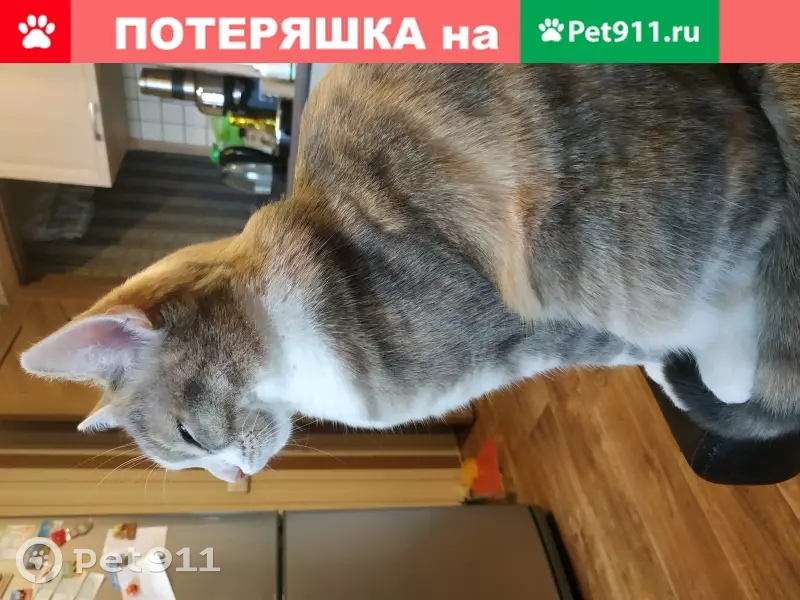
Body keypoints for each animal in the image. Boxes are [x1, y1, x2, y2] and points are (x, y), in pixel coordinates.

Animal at [19, 64, 800, 482]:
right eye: (186, 463)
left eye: (186, 437)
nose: (235, 480)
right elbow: (664, 351)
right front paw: (687, 365)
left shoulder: (527, 314)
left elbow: (710, 358)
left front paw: (717, 364)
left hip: (584, 247)